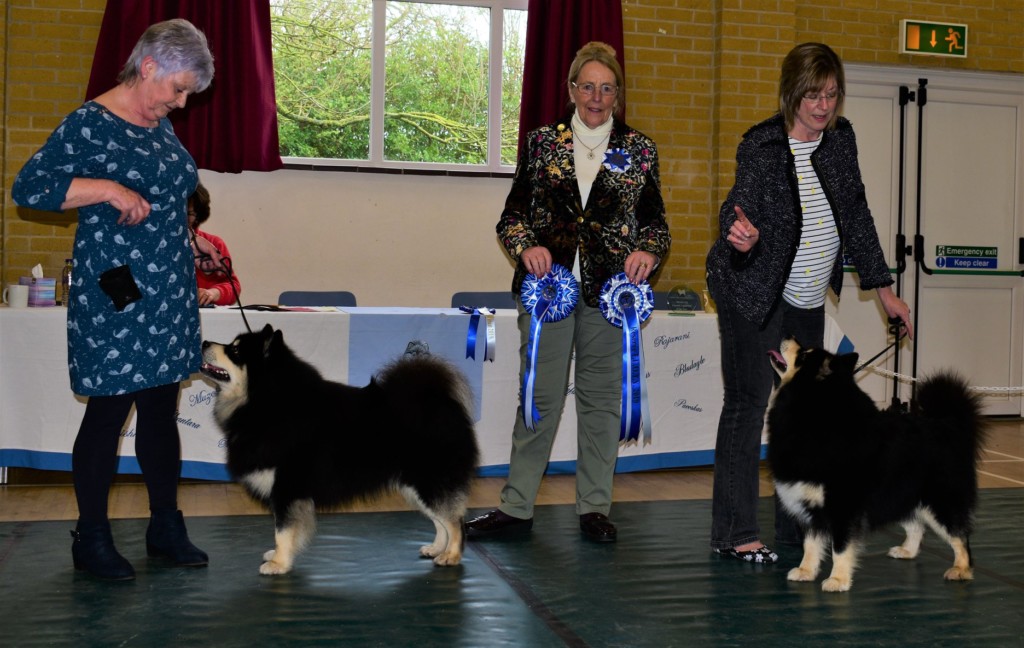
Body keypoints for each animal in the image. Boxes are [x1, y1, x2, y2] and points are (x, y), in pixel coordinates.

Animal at [199, 325, 479, 573]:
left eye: (235, 350)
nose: (203, 342)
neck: (270, 401)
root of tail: (439, 401)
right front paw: (279, 555)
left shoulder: (287, 488)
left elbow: (283, 530)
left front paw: (279, 563)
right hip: (414, 485)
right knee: (440, 520)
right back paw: (436, 549)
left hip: (429, 480)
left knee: (455, 521)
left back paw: (451, 556)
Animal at [770, 335, 983, 593]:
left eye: (802, 355)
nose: (787, 337)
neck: (817, 417)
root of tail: (947, 425)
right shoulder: (811, 506)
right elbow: (810, 544)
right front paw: (806, 571)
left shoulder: (842, 506)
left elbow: (840, 547)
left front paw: (838, 580)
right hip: (902, 494)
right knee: (916, 525)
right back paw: (907, 551)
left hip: (940, 500)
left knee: (960, 535)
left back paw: (961, 568)